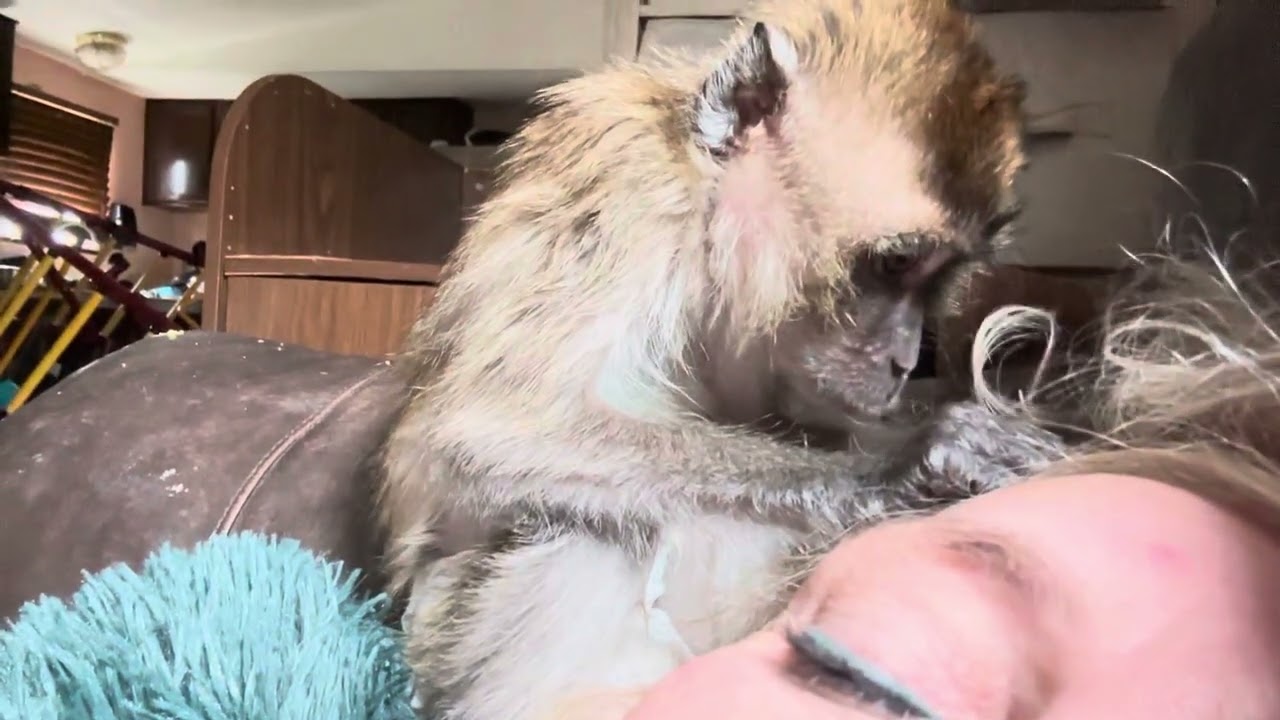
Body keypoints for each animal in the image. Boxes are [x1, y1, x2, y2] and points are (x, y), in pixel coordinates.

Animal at [377, 1, 1066, 718]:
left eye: (941, 277)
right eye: (895, 263)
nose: (905, 360)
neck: (705, 223)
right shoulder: (627, 189)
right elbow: (480, 432)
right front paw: (904, 462)